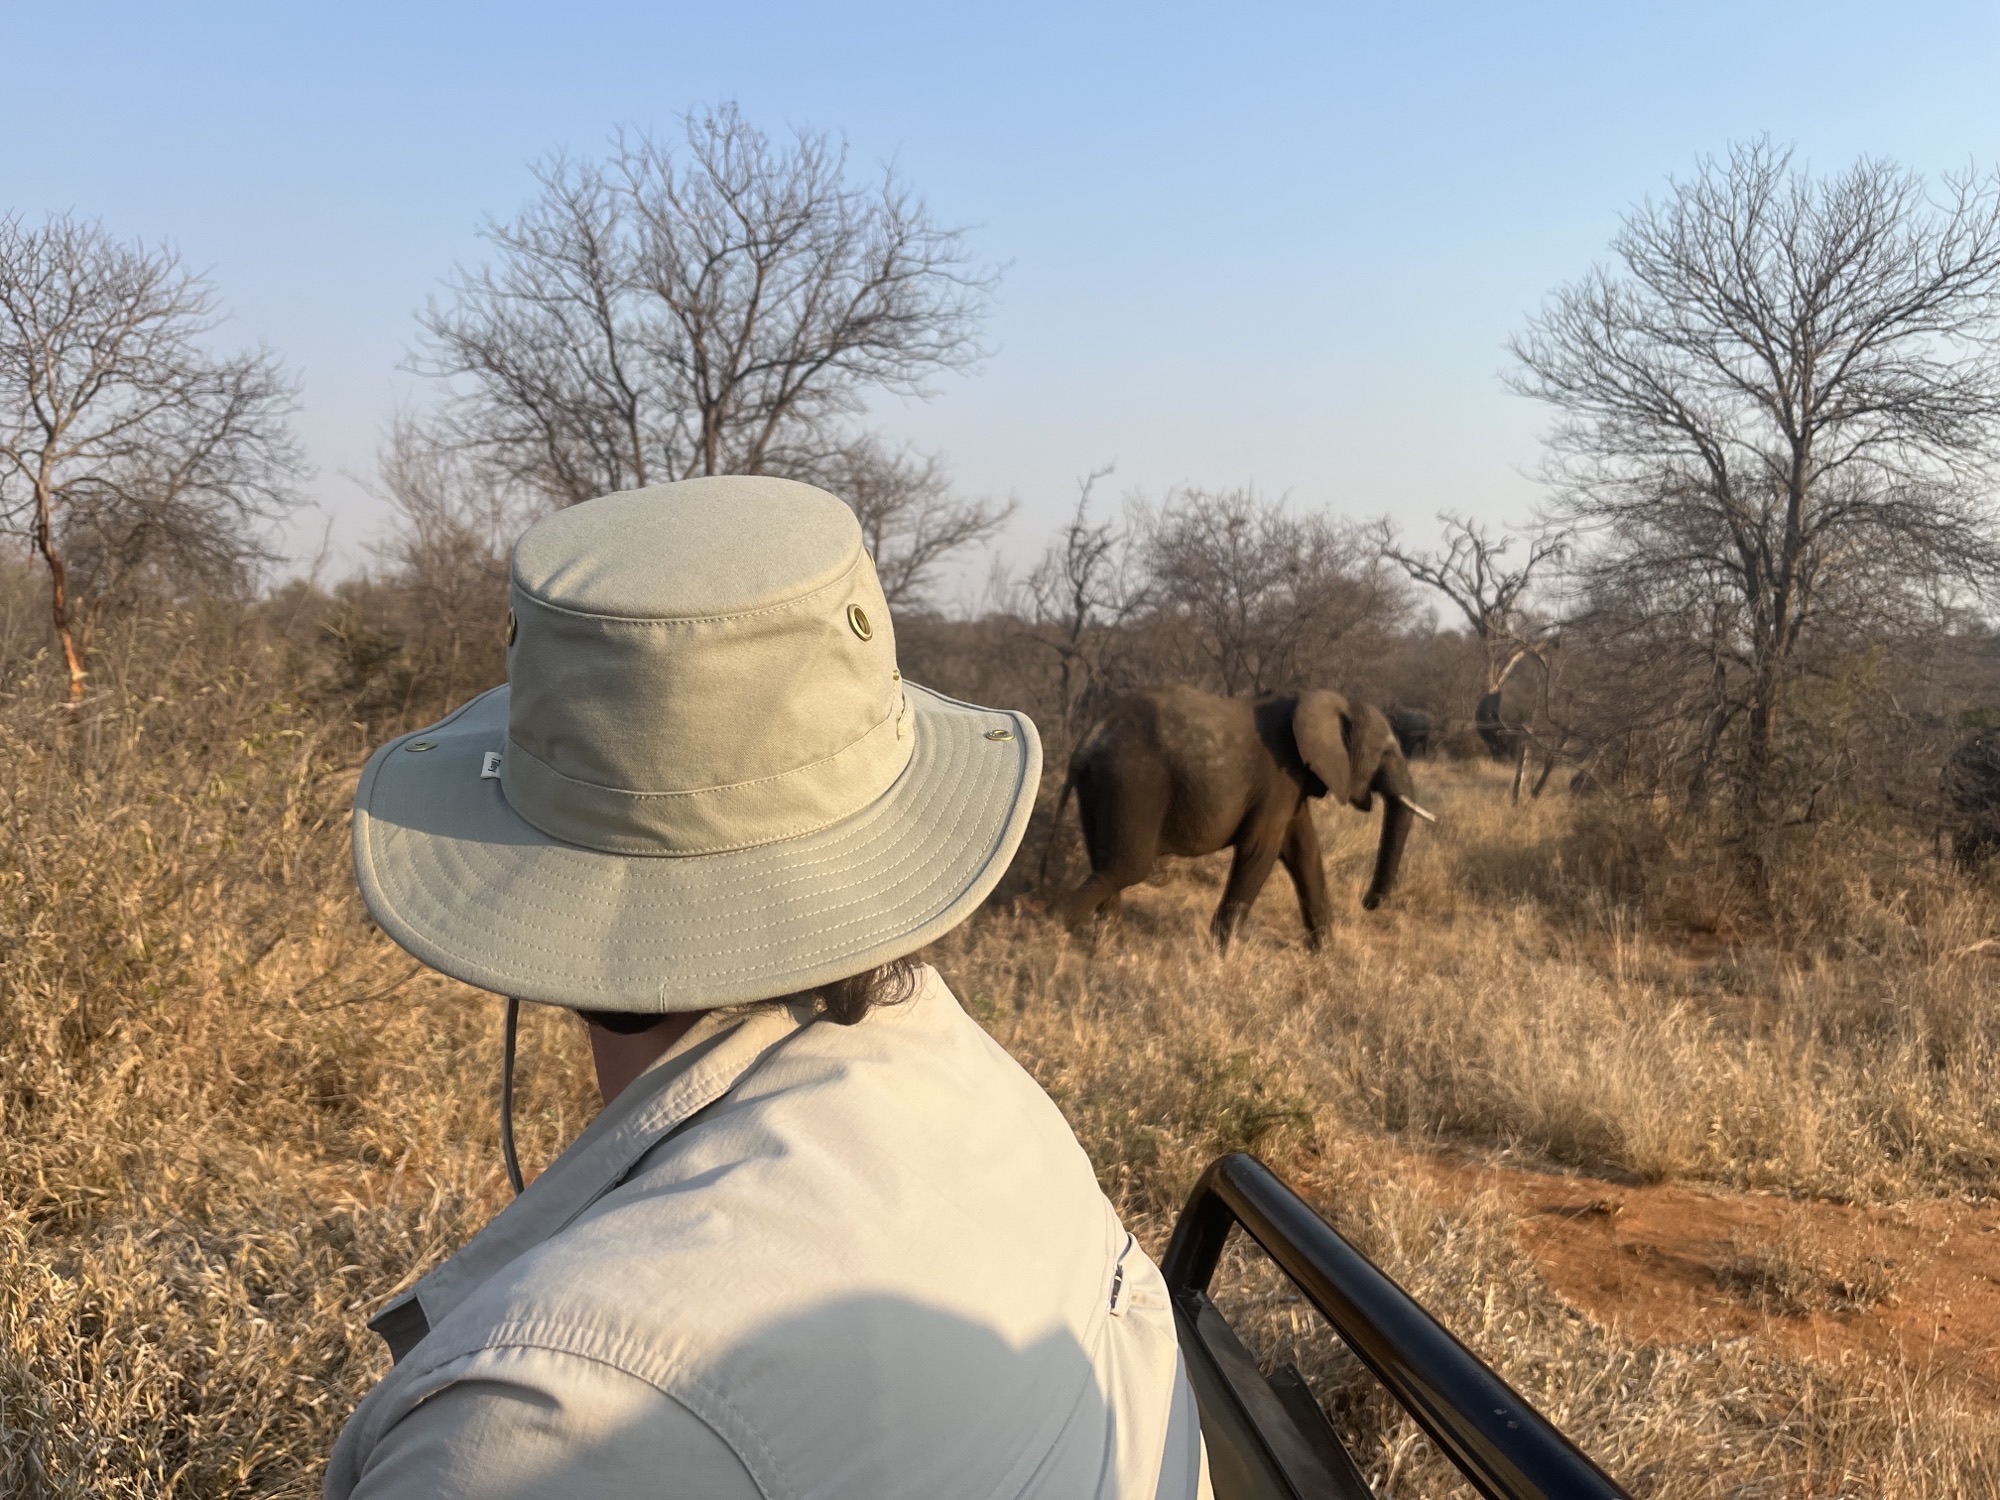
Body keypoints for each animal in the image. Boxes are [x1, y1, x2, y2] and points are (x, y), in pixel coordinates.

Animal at [1048, 685, 1435, 949]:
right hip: (1133, 781)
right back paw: (1048, 931)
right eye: (1387, 753)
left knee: (1105, 863)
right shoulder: (1280, 778)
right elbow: (1260, 851)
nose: (1368, 903)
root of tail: (1088, 740)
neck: (1327, 701)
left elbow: (1305, 853)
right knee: (1126, 867)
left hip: (1102, 787)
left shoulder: (1293, 784)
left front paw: (1325, 953)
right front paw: (1219, 956)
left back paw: (1109, 948)